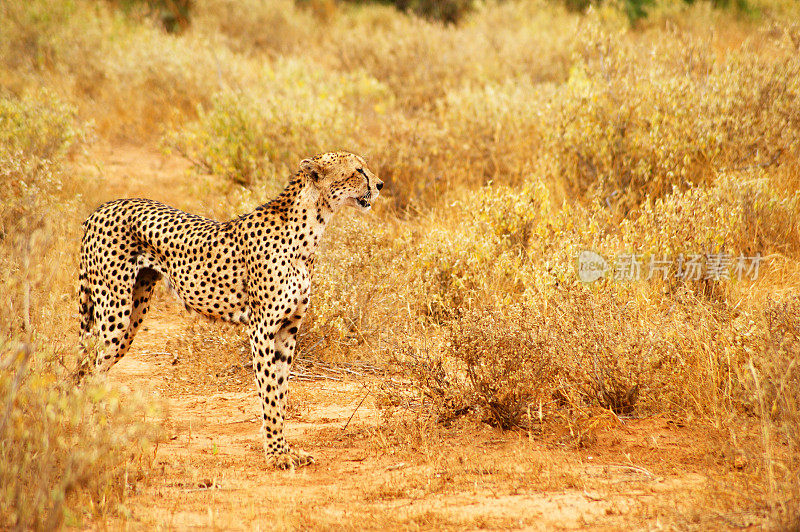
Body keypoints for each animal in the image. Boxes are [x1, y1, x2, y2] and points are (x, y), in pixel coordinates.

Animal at [76, 152, 382, 468]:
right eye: (358, 170)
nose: (380, 184)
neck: (309, 229)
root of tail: (103, 207)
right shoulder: (262, 329)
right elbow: (269, 392)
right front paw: (276, 454)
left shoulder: (288, 329)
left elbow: (281, 390)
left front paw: (286, 449)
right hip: (114, 312)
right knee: (90, 370)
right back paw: (93, 429)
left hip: (132, 315)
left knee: (87, 367)